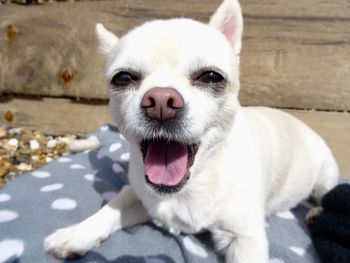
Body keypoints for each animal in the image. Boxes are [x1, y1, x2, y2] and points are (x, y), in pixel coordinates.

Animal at [42, 0, 338, 262]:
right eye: (123, 78)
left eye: (211, 76)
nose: (161, 101)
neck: (193, 182)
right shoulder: (140, 197)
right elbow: (113, 206)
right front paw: (75, 234)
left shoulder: (244, 239)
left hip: (325, 175)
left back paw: (318, 213)